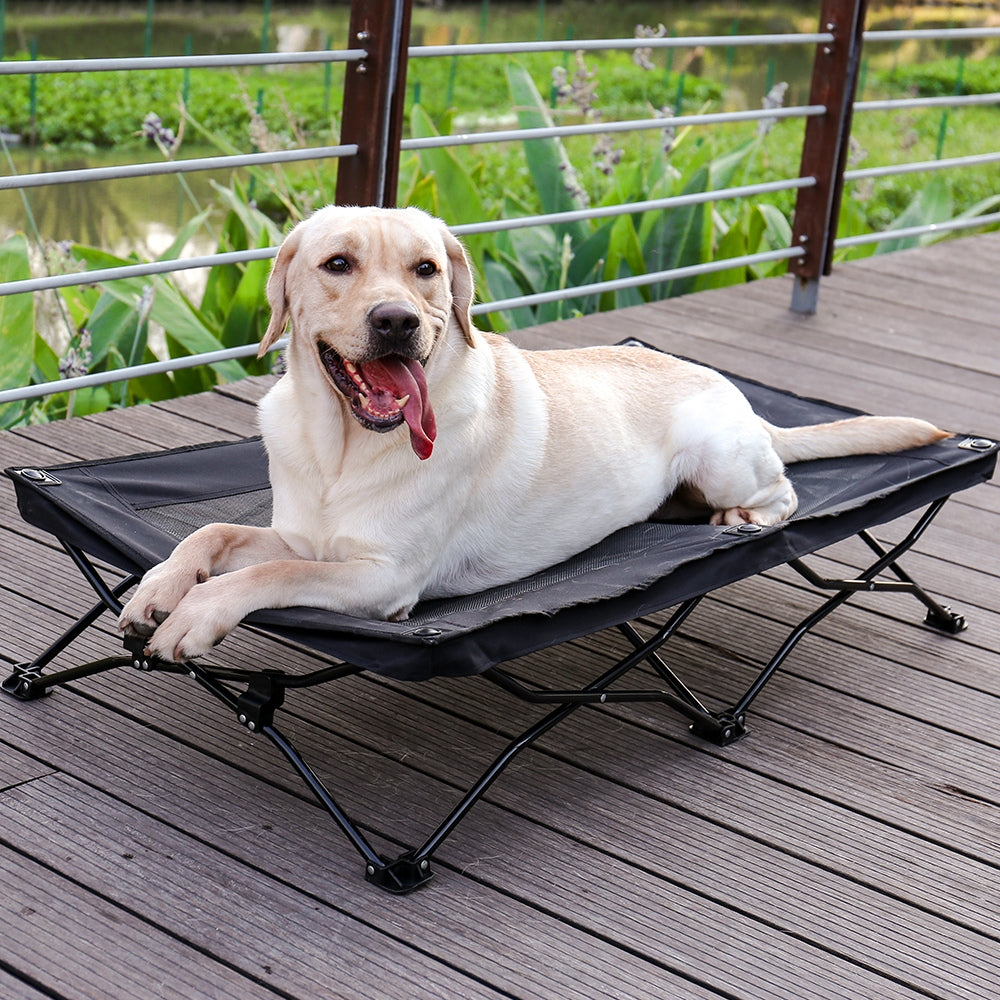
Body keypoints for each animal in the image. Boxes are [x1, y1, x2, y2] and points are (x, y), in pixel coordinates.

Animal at [115, 203, 944, 660]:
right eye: (338, 264)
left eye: (425, 269)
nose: (398, 322)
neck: (340, 445)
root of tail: (732, 391)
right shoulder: (302, 537)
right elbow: (212, 534)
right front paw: (159, 588)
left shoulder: (382, 579)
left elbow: (261, 577)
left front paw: (196, 616)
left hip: (723, 458)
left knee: (785, 492)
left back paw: (742, 515)